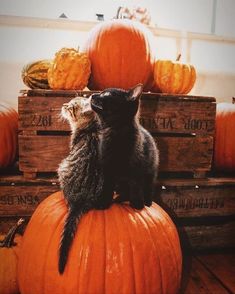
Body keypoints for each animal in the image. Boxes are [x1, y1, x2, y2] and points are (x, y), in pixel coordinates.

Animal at [57, 96, 111, 274]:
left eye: (71, 107)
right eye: (69, 101)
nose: (63, 105)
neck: (91, 126)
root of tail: (79, 201)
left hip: (62, 167)